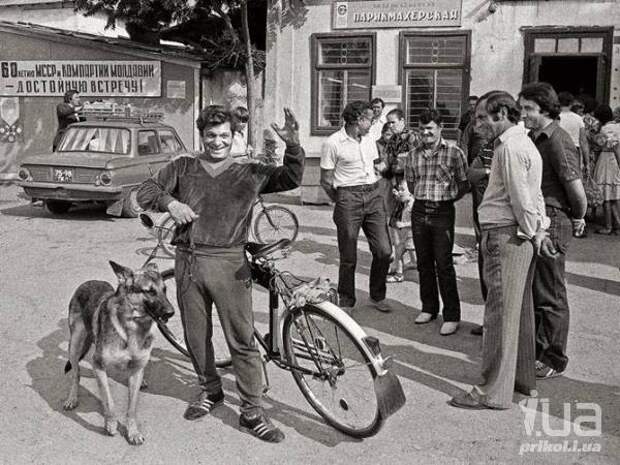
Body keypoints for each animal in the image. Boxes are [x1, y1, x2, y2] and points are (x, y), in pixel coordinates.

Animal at [62, 260, 173, 444]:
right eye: (149, 291)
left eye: (164, 289)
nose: (171, 312)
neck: (132, 326)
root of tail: (89, 282)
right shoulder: (98, 365)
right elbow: (109, 401)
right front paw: (111, 423)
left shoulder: (136, 371)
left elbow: (132, 408)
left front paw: (133, 432)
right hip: (75, 345)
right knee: (75, 374)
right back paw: (72, 398)